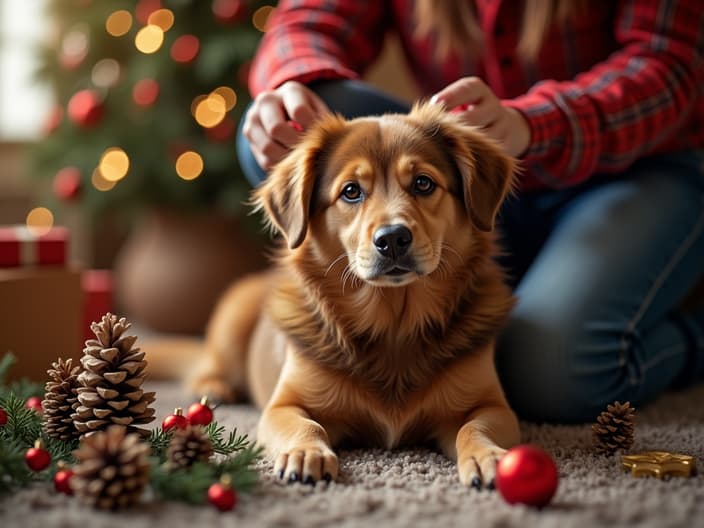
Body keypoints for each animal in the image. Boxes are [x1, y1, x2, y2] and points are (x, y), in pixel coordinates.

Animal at [151, 101, 520, 488]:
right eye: (351, 191)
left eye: (423, 183)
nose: (392, 239)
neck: (393, 324)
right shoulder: (283, 405)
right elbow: (306, 425)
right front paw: (305, 453)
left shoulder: (492, 406)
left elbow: (474, 427)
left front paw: (487, 455)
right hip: (234, 310)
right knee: (207, 365)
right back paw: (215, 387)